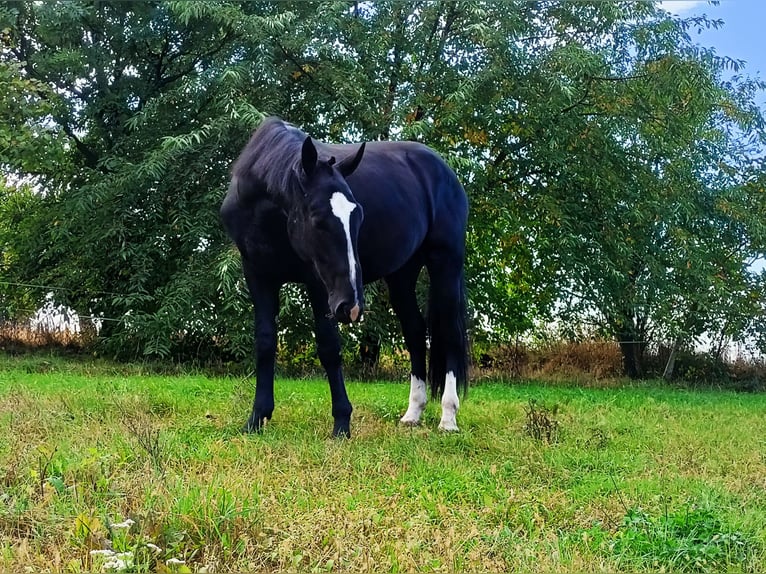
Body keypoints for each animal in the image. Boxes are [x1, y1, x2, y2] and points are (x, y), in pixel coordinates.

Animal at [218, 118, 468, 440]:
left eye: (358, 214)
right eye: (317, 218)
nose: (352, 306)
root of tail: (443, 170)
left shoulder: (317, 283)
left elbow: (328, 346)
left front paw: (341, 422)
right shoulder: (257, 275)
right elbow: (264, 342)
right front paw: (257, 418)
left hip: (445, 263)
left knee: (450, 333)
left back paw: (448, 417)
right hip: (402, 274)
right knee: (414, 331)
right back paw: (413, 413)